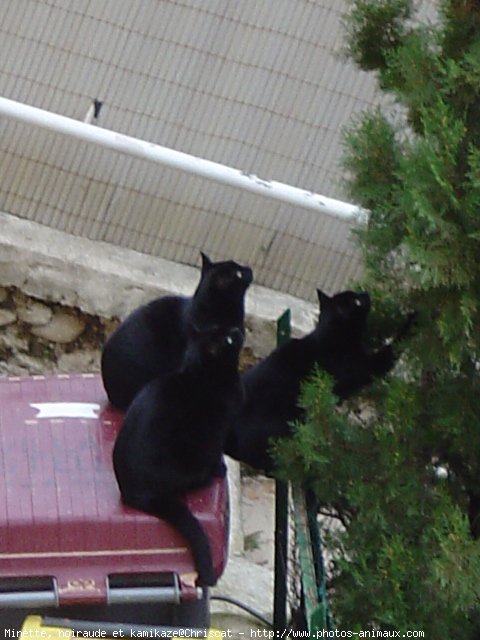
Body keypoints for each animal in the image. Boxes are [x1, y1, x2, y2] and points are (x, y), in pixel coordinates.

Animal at [113, 324, 244, 584]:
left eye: (228, 331)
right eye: (228, 338)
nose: (237, 330)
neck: (203, 375)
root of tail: (131, 491)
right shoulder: (218, 431)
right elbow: (216, 452)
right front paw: (220, 468)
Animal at [226, 288, 416, 472]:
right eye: (356, 301)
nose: (365, 294)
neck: (331, 337)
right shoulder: (364, 369)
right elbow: (392, 349)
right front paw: (413, 320)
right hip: (278, 428)